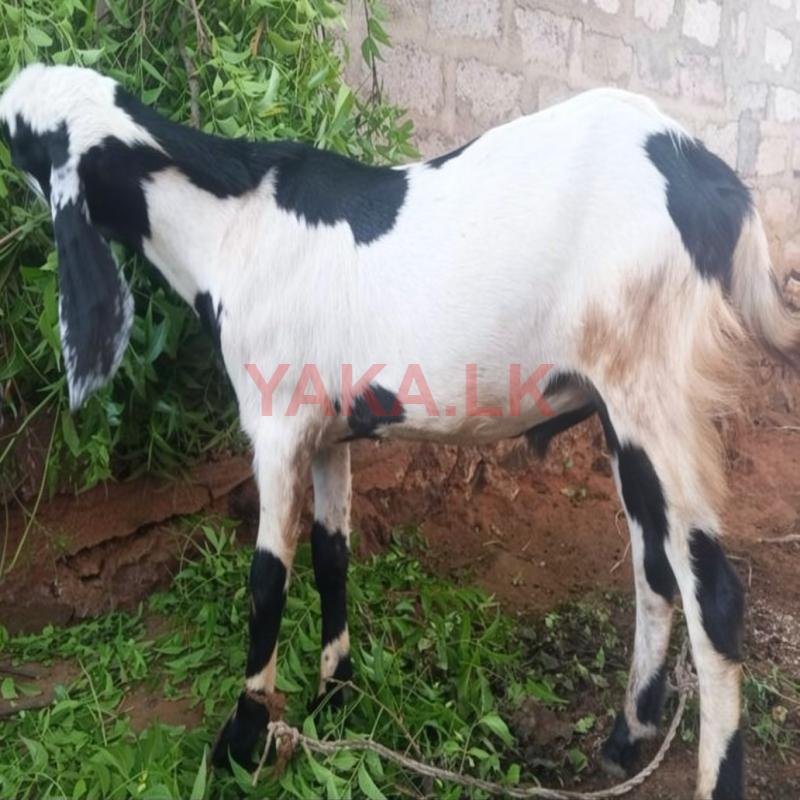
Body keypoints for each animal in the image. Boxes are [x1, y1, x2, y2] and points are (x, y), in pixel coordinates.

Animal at [3, 63, 798, 800]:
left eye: (18, 137)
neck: (231, 227)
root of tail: (710, 179)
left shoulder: (277, 422)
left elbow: (267, 579)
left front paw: (243, 735)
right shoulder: (327, 432)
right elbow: (332, 554)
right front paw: (336, 693)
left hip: (656, 386)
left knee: (713, 592)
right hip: (621, 408)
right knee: (654, 566)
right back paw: (626, 736)